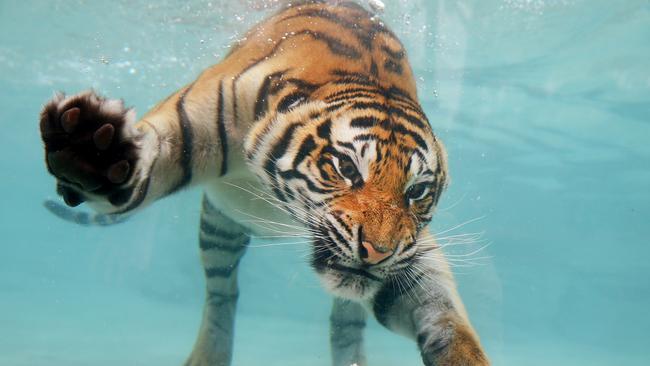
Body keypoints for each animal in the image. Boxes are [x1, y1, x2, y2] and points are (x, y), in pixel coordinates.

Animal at [38, 1, 486, 364]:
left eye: (416, 191)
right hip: (219, 230)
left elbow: (443, 311)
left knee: (347, 321)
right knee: (222, 295)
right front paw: (89, 150)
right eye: (346, 168)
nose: (377, 252)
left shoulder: (405, 255)